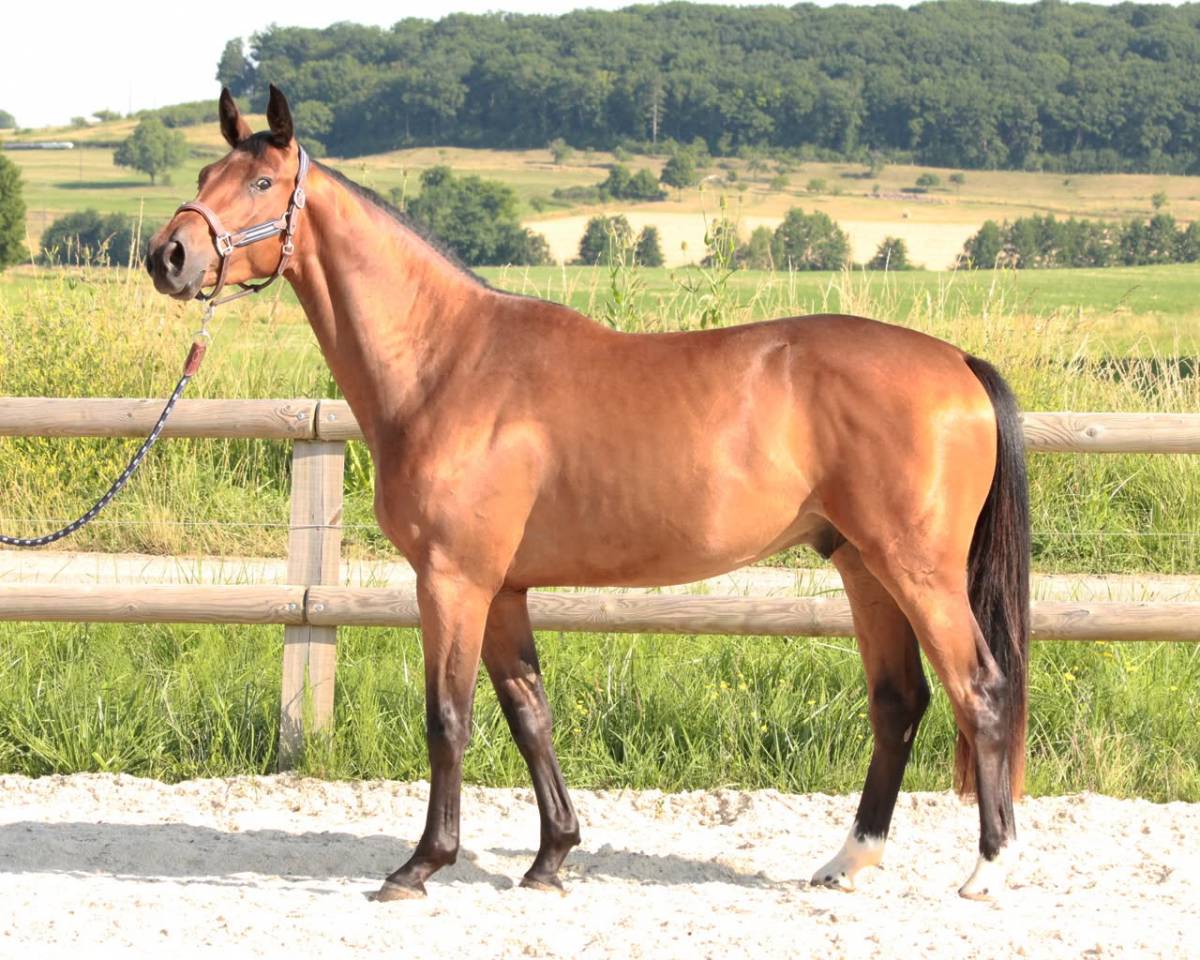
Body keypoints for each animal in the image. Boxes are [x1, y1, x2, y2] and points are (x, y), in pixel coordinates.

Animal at [146, 86, 1030, 902]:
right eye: (204, 175)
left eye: (263, 182)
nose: (170, 256)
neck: (449, 363)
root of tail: (956, 363)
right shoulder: (503, 589)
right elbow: (528, 714)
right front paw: (552, 857)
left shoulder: (453, 581)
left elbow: (448, 718)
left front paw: (421, 864)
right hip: (863, 568)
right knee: (899, 702)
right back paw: (848, 861)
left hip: (916, 571)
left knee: (981, 692)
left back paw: (988, 868)